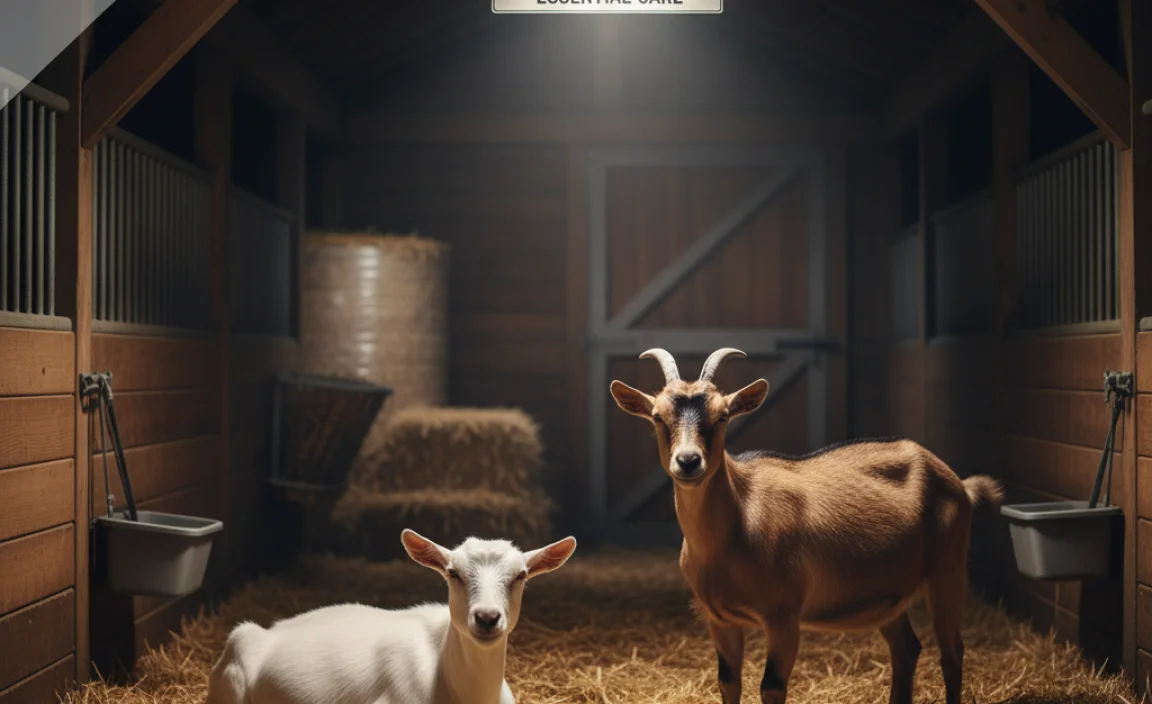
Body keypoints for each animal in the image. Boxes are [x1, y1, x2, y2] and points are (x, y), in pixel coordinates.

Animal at [609, 347, 1003, 704]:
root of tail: (959, 483)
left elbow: (771, 687)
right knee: (906, 650)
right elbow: (728, 684)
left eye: (723, 416)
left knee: (952, 654)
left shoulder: (783, 616)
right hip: (889, 594)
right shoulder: (719, 620)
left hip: (947, 571)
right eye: (657, 417)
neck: (737, 523)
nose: (689, 461)